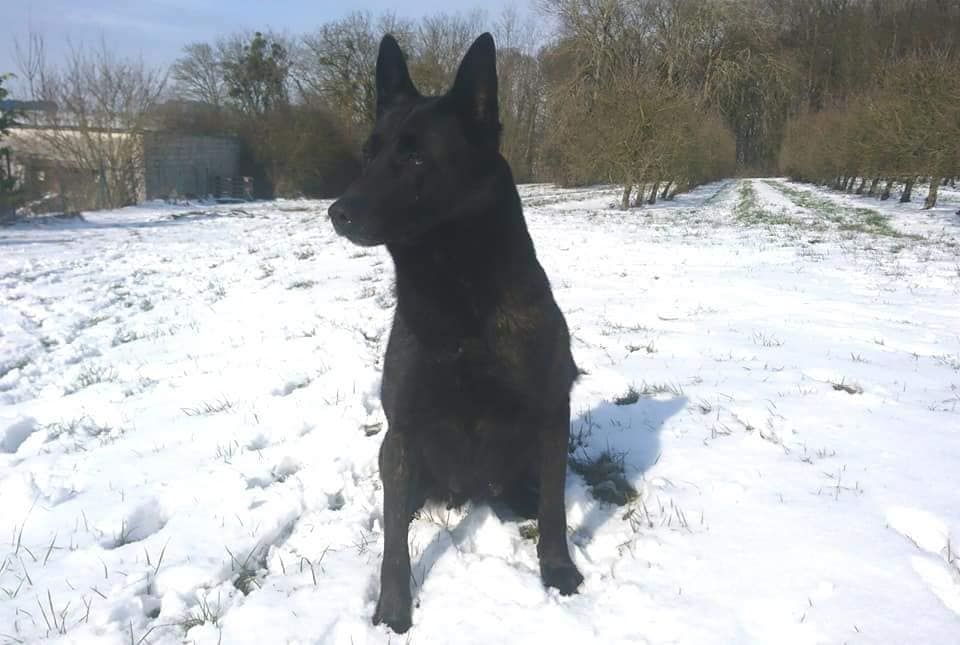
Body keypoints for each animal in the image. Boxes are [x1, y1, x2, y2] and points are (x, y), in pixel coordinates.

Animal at [330, 32, 580, 632]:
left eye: (416, 155)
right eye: (370, 153)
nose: (337, 213)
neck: (459, 297)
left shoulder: (551, 412)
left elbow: (555, 510)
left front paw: (558, 570)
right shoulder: (402, 430)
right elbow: (394, 546)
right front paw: (393, 610)